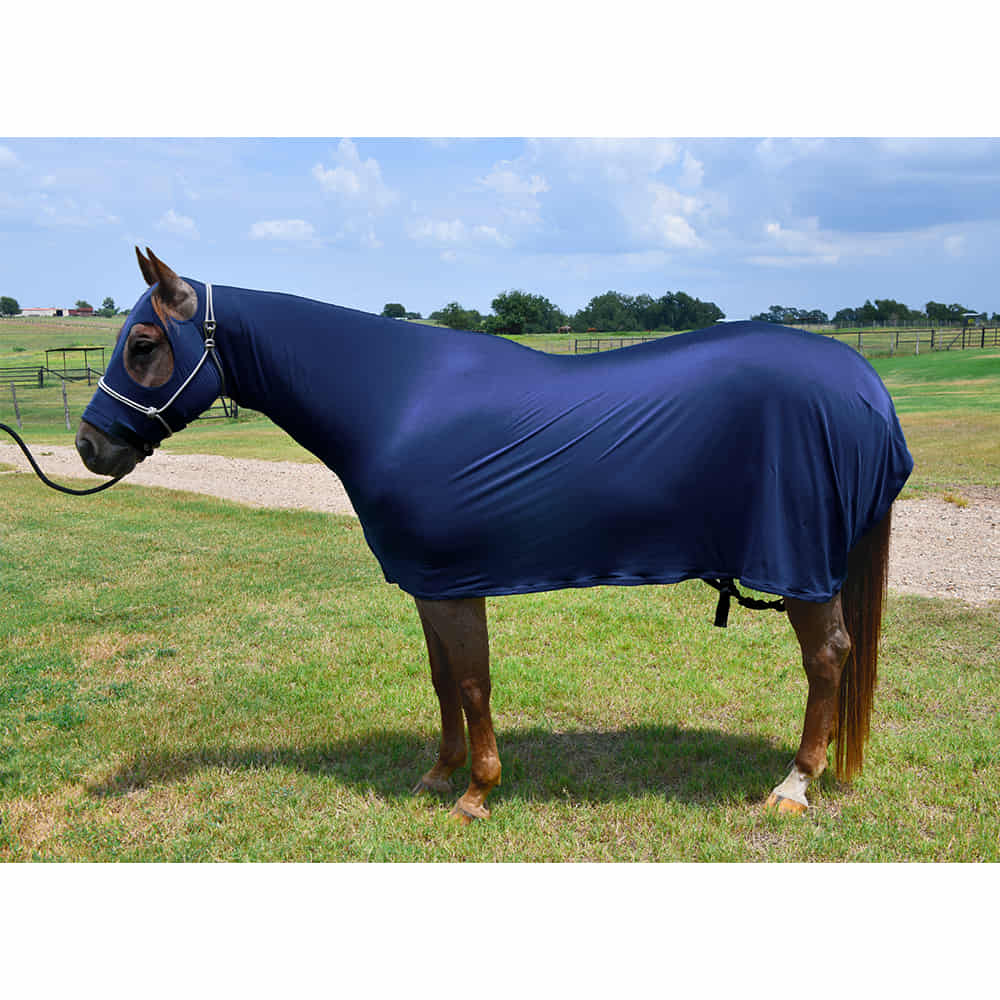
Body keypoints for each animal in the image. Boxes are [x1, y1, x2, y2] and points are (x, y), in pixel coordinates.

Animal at [76, 248, 913, 821]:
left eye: (144, 343)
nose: (88, 446)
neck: (396, 401)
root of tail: (864, 384)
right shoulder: (429, 584)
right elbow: (443, 679)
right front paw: (439, 774)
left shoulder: (456, 585)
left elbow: (474, 681)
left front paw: (477, 793)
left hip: (803, 570)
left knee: (828, 659)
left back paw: (794, 785)